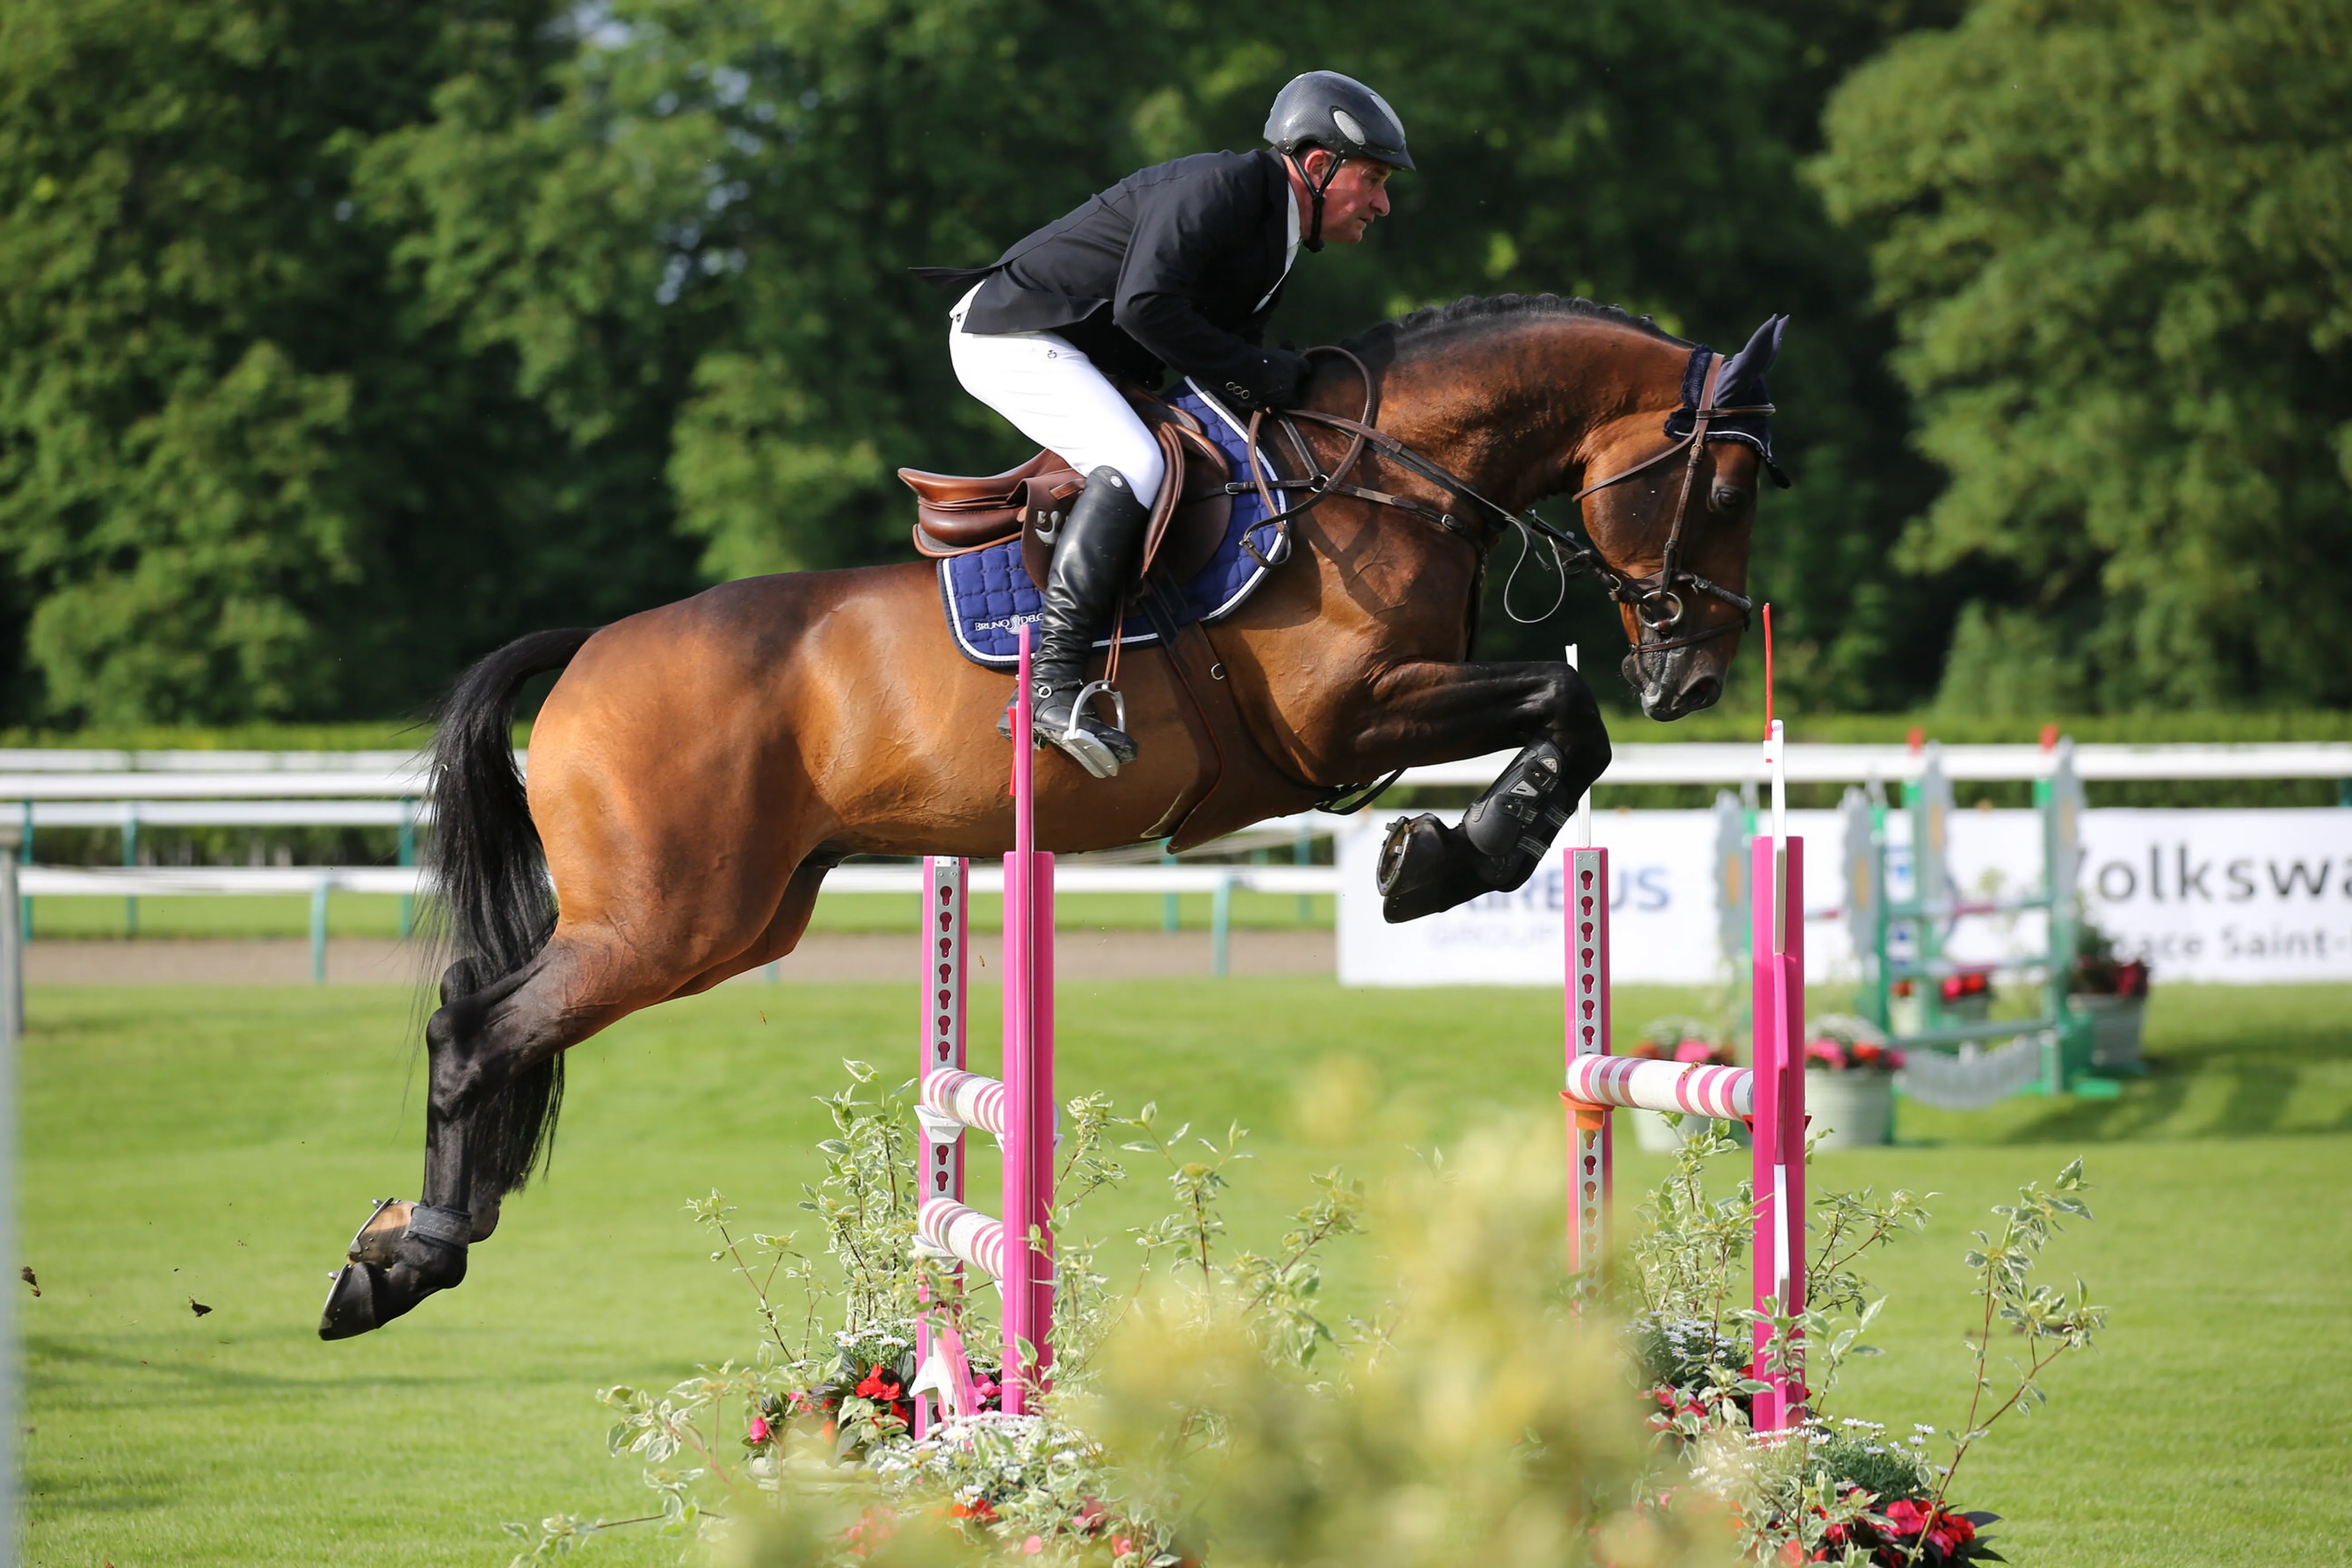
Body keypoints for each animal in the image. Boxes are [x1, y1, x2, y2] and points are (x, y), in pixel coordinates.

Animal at [319, 294, 1788, 1339]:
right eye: (1723, 490)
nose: (1696, 676)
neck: (1390, 476)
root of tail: (585, 648)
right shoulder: (1349, 719)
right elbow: (1564, 705)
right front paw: (1449, 857)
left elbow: (1566, 714)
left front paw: (1442, 851)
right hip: (669, 917)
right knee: (475, 1023)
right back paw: (414, 1247)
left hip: (729, 921)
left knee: (492, 1010)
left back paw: (418, 1237)